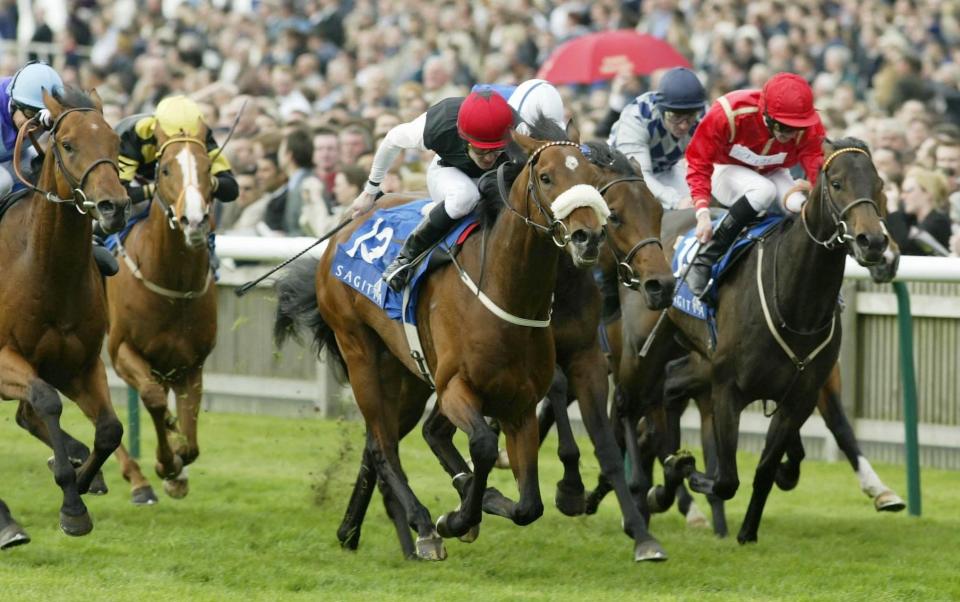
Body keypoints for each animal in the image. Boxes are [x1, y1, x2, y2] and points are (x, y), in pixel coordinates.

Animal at [0, 89, 131, 544]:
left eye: (115, 142)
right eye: (69, 144)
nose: (114, 207)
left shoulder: (81, 364)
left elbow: (109, 429)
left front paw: (84, 483)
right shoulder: (4, 359)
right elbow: (46, 399)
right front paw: (72, 502)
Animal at [106, 122, 217, 502]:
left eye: (208, 168)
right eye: (166, 169)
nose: (194, 221)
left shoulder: (190, 363)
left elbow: (192, 440)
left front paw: (178, 465)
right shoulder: (121, 351)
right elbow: (153, 398)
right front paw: (166, 464)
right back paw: (136, 478)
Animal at [276, 129, 616, 560]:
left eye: (594, 175)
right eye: (546, 177)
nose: (589, 237)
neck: (505, 293)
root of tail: (342, 232)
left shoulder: (519, 405)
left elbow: (528, 506)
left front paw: (481, 501)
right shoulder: (456, 387)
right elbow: (484, 445)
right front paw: (455, 519)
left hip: (408, 374)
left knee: (400, 436)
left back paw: (352, 529)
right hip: (360, 352)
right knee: (384, 446)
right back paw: (422, 526)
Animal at [612, 138, 888, 540]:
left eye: (879, 184)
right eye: (836, 183)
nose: (873, 242)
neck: (796, 304)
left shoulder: (799, 398)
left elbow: (766, 471)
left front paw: (747, 532)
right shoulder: (727, 389)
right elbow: (725, 479)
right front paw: (682, 471)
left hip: (689, 355)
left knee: (663, 397)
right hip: (641, 350)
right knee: (628, 407)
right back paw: (639, 494)